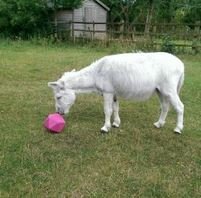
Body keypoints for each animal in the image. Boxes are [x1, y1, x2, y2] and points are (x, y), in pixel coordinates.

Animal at [48, 51, 185, 134]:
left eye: (58, 97)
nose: (58, 113)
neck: (96, 73)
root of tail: (181, 64)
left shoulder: (107, 92)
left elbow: (107, 110)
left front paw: (105, 127)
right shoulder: (113, 93)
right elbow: (115, 108)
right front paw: (116, 123)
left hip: (169, 90)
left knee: (180, 107)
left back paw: (178, 129)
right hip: (160, 90)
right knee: (165, 106)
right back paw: (159, 124)